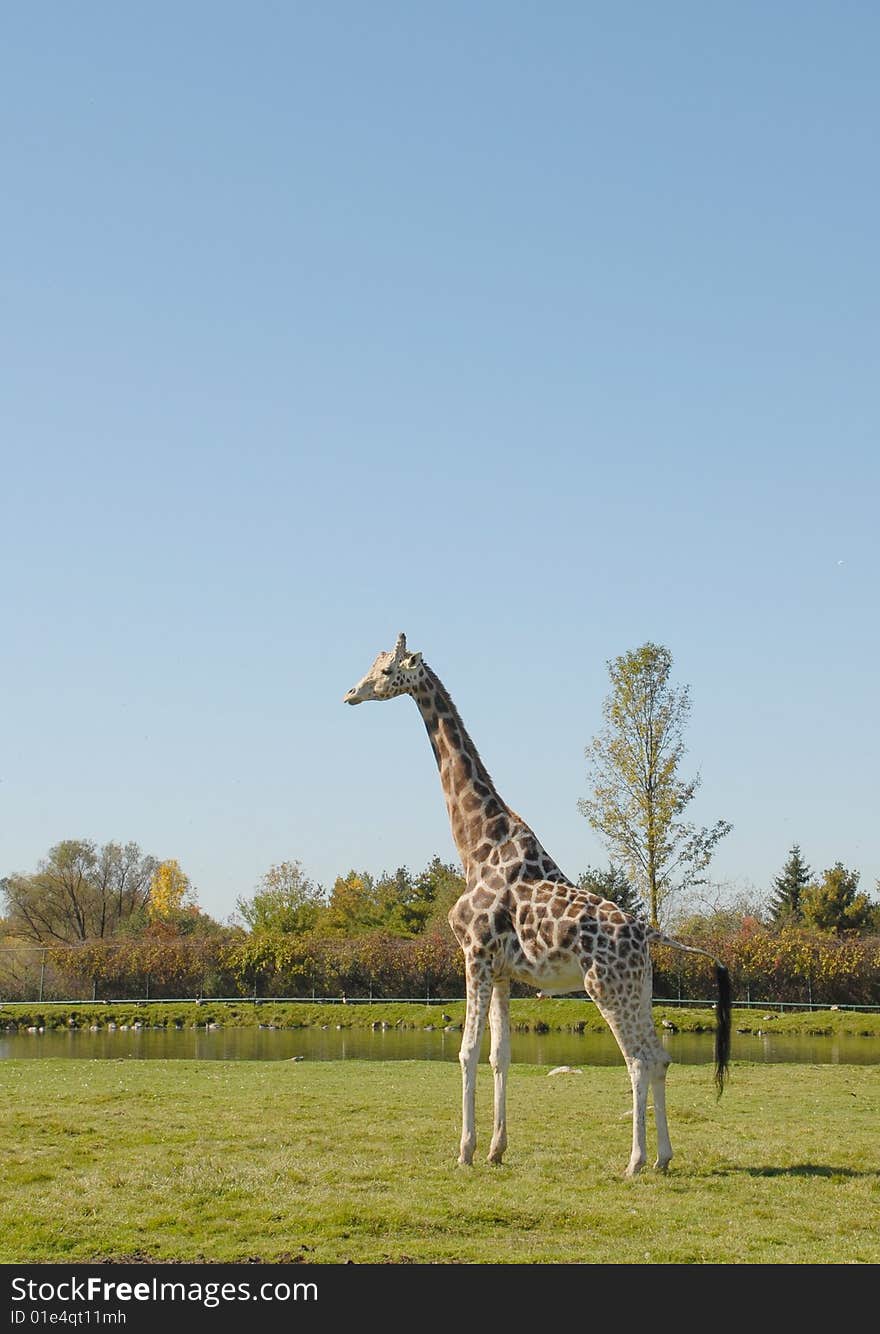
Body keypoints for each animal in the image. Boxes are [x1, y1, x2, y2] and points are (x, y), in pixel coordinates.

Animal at [341, 629, 730, 1173]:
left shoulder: (475, 954)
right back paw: (662, 1158)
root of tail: (647, 931)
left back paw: (634, 1161)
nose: (350, 694)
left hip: (606, 986)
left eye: (384, 670)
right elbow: (500, 1054)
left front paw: (464, 1151)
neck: (476, 844)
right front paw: (496, 1150)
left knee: (638, 1059)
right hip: (639, 987)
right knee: (660, 1056)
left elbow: (466, 1051)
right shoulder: (504, 971)